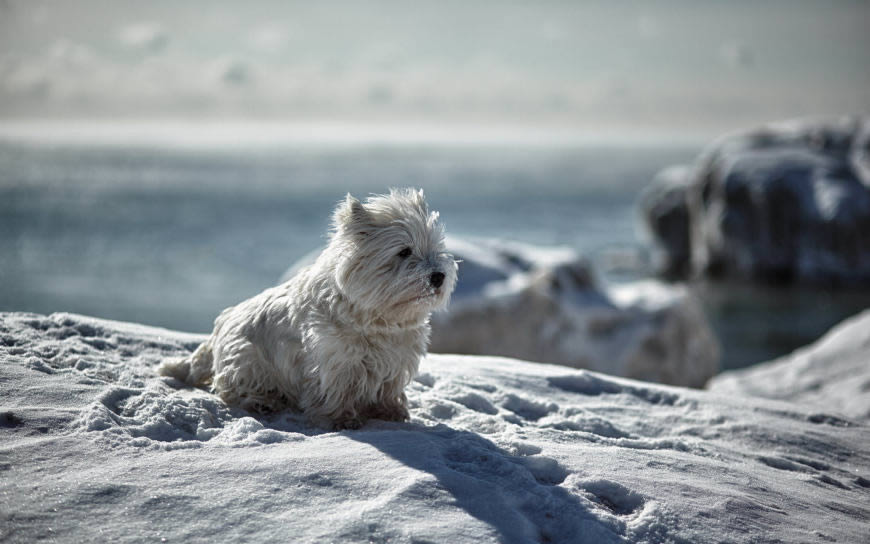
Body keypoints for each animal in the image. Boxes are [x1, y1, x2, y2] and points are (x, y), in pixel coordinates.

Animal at [158, 188, 456, 430]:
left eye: (436, 249)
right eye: (404, 251)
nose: (438, 276)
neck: (378, 317)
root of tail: (219, 328)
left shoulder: (396, 358)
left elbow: (388, 388)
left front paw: (391, 412)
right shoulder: (335, 358)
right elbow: (337, 389)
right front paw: (341, 420)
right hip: (247, 360)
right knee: (230, 389)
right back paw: (262, 401)